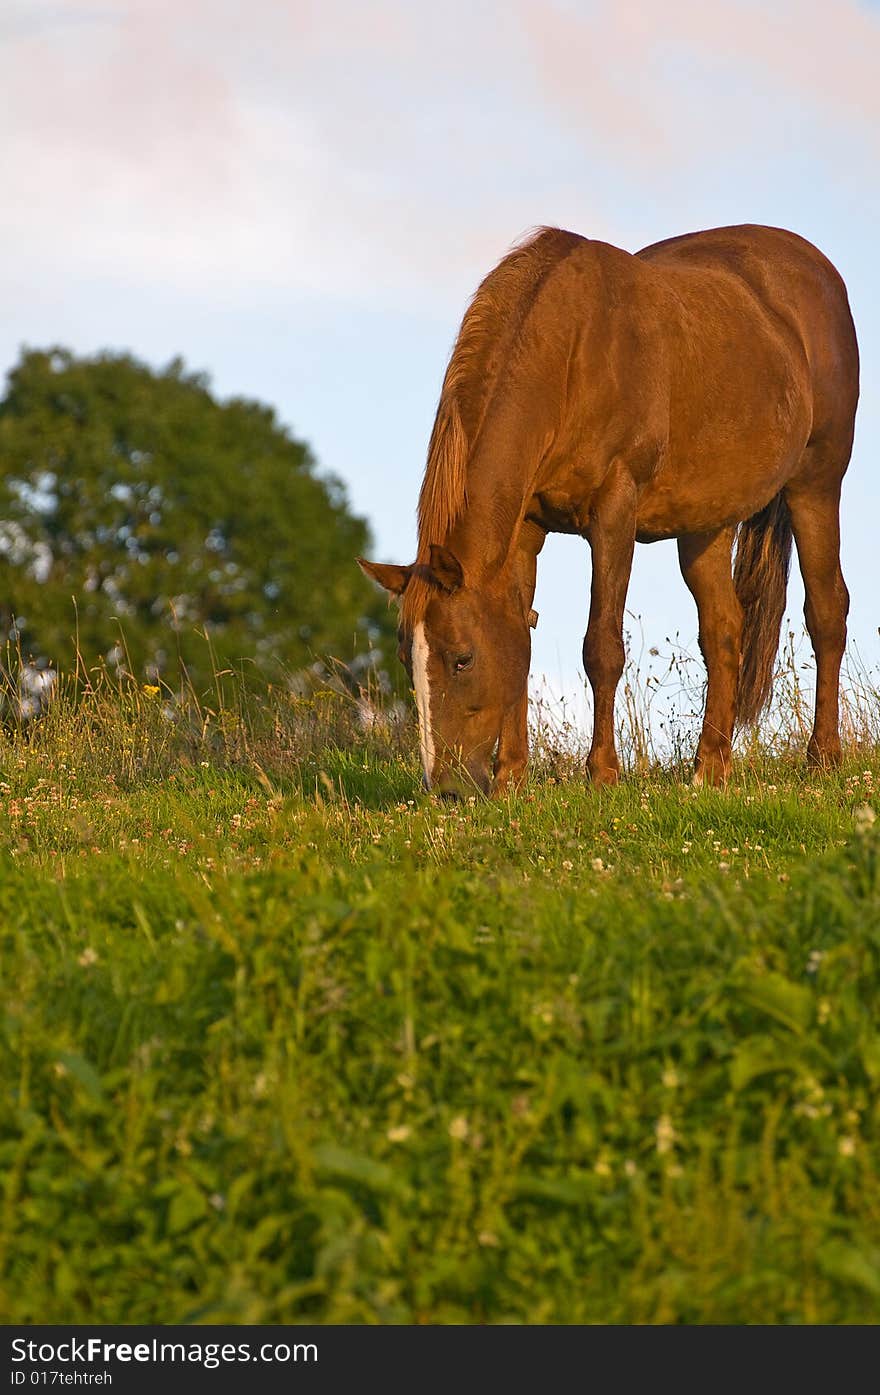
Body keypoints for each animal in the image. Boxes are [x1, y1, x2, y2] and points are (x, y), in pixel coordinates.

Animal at [357, 225, 859, 797]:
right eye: (405, 658)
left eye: (462, 658)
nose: (446, 790)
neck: (570, 354)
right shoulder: (526, 529)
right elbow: (520, 640)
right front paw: (512, 777)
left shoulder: (614, 514)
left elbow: (601, 647)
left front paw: (602, 773)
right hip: (706, 523)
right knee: (724, 629)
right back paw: (708, 770)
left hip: (816, 485)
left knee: (827, 611)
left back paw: (822, 758)